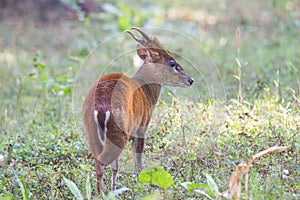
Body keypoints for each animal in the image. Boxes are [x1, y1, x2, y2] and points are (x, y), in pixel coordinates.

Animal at [81, 27, 195, 193]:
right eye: (173, 63)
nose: (191, 80)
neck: (145, 91)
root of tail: (101, 105)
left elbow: (116, 167)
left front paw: (115, 190)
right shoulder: (141, 127)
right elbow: (138, 161)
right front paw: (142, 185)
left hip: (92, 133)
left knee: (100, 160)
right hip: (119, 130)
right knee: (101, 162)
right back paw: (100, 194)